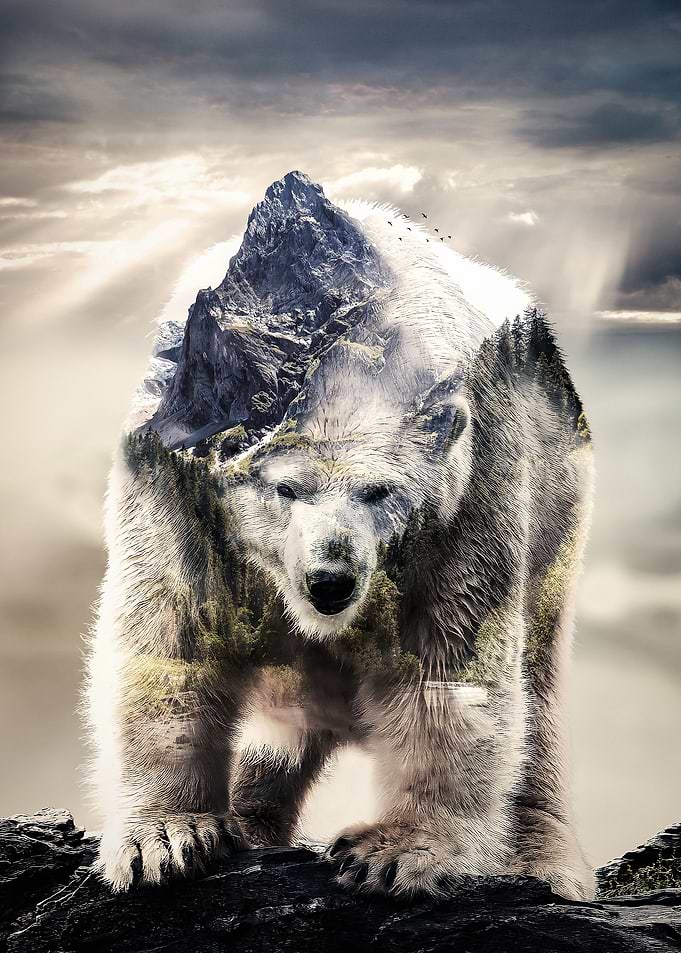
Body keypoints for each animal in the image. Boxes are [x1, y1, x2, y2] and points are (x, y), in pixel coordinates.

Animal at [84, 171, 595, 901]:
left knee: (540, 692)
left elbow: (447, 663)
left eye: (379, 491)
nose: (330, 581)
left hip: (559, 517)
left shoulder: (471, 488)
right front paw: (166, 838)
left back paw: (545, 864)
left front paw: (396, 851)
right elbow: (170, 635)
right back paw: (250, 814)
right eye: (284, 488)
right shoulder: (169, 474)